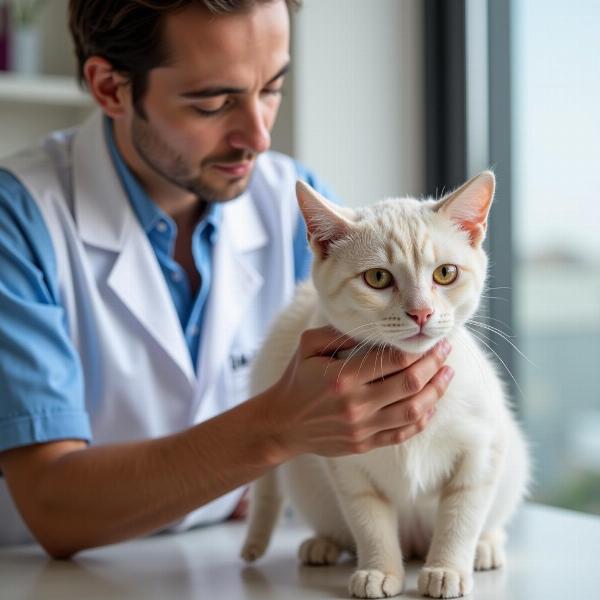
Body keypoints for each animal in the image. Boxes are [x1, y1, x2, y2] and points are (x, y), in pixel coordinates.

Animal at [239, 171, 528, 596]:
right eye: (377, 278)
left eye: (446, 273)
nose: (421, 312)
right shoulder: (347, 464)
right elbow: (369, 522)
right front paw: (379, 570)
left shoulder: (482, 449)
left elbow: (462, 514)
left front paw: (447, 567)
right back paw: (322, 544)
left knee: (490, 521)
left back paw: (485, 547)